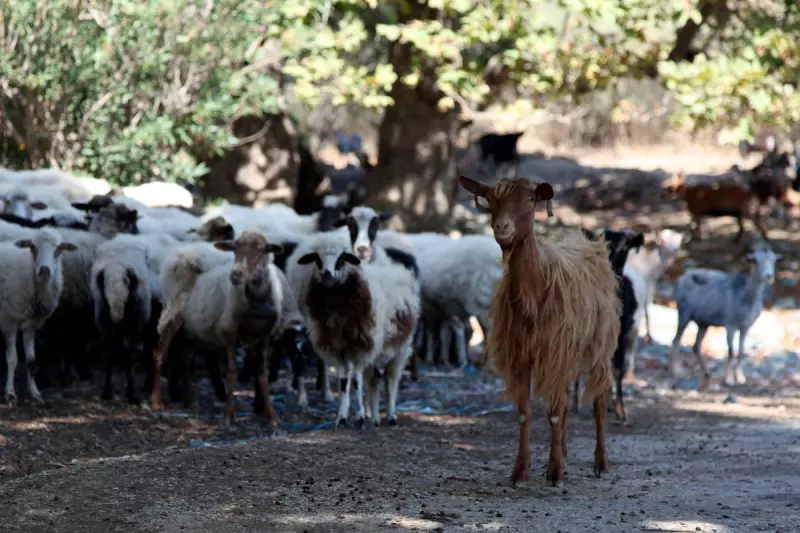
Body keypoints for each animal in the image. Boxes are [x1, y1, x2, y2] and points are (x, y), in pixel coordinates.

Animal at [0, 228, 77, 404]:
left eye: (58, 249)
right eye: (32, 247)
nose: (44, 271)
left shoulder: (31, 325)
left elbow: (31, 360)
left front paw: (35, 393)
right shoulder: (9, 321)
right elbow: (12, 358)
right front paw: (10, 393)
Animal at [150, 230, 287, 426]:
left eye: (262, 250)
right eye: (234, 248)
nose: (236, 275)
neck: (256, 301)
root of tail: (183, 253)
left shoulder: (264, 337)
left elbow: (262, 375)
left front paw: (271, 416)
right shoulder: (230, 332)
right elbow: (231, 373)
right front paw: (229, 415)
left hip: (192, 328)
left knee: (184, 357)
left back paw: (189, 401)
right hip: (172, 312)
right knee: (160, 353)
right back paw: (156, 402)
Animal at [291, 230, 420, 427]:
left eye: (342, 258)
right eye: (317, 259)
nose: (327, 275)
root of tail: (398, 270)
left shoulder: (361, 346)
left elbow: (357, 382)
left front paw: (359, 418)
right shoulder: (338, 348)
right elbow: (345, 382)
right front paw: (342, 418)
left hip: (400, 348)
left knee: (390, 380)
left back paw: (390, 416)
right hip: (377, 352)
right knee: (373, 380)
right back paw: (374, 416)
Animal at [459, 175, 619, 486]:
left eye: (531, 199)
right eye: (491, 199)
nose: (502, 228)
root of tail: (590, 243)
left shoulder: (555, 353)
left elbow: (554, 413)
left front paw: (554, 472)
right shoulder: (521, 356)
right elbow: (525, 412)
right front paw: (521, 470)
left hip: (599, 348)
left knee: (599, 401)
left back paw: (601, 461)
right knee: (567, 401)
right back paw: (566, 451)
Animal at [668, 245, 779, 388]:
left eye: (773, 260)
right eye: (755, 260)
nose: (769, 276)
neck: (746, 298)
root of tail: (681, 278)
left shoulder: (745, 326)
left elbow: (741, 351)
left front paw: (741, 378)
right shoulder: (730, 324)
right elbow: (731, 351)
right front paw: (729, 380)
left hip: (703, 322)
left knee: (696, 346)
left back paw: (707, 373)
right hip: (683, 314)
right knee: (676, 341)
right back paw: (675, 373)